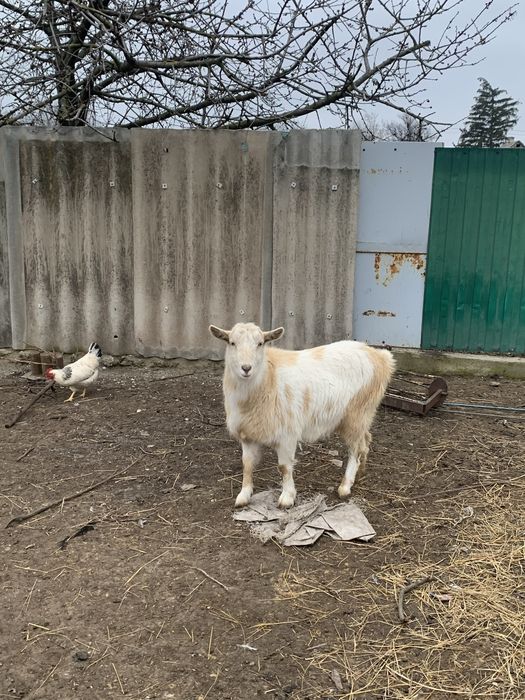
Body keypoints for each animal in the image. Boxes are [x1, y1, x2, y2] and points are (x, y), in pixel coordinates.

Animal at [209, 322, 395, 509]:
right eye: (232, 343)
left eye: (260, 343)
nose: (246, 368)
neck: (268, 378)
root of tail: (381, 357)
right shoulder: (248, 433)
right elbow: (247, 465)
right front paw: (244, 495)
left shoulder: (287, 433)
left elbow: (284, 467)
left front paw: (287, 497)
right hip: (363, 414)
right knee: (366, 440)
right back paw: (361, 472)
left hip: (356, 414)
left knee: (355, 450)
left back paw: (345, 485)